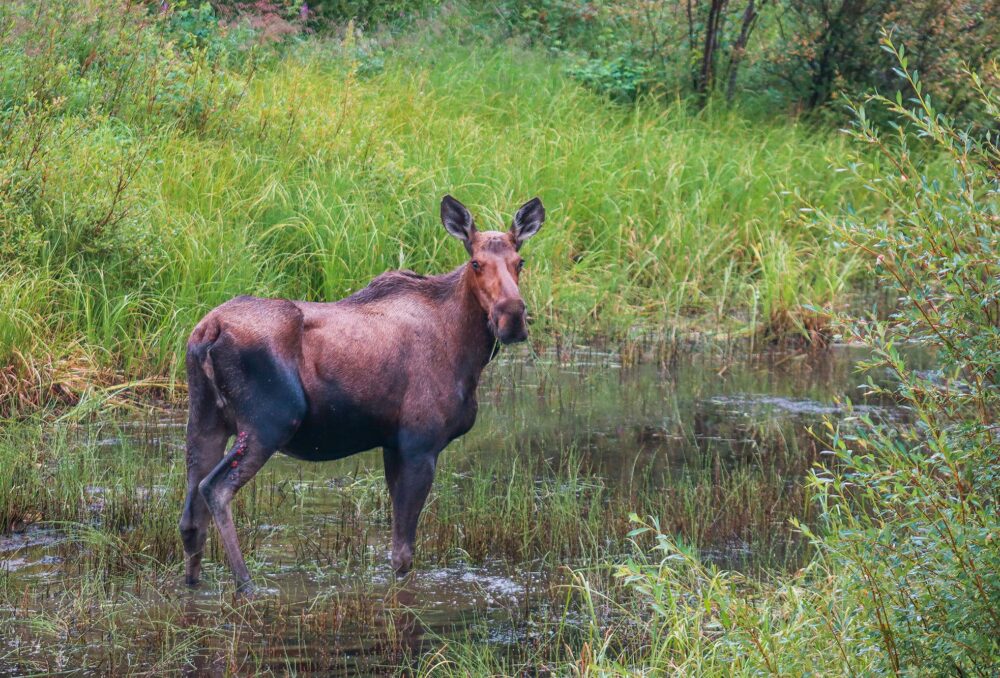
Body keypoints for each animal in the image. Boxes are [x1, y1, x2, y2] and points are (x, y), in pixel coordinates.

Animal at [176, 194, 544, 592]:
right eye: (476, 262)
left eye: (520, 261)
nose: (512, 317)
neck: (468, 350)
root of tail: (208, 331)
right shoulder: (419, 444)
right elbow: (402, 554)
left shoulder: (392, 444)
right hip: (269, 421)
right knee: (215, 489)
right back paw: (247, 584)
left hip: (205, 419)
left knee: (190, 518)